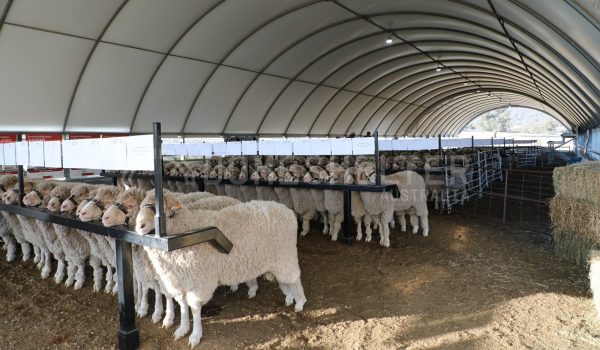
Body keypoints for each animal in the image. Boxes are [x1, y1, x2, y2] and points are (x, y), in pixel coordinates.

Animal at [134, 191, 308, 348]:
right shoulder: (178, 280)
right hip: (277, 262)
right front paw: (182, 329)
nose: (139, 226)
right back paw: (289, 298)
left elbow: (194, 308)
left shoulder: (199, 281)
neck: (185, 229)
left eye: (161, 209)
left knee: (295, 279)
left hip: (285, 256)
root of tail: (286, 210)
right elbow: (182, 305)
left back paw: (300, 302)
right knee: (286, 281)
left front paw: (195, 336)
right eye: (142, 205)